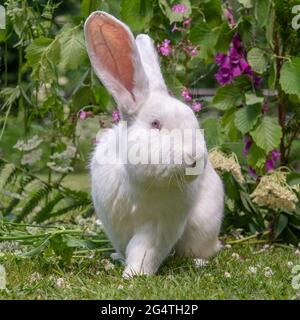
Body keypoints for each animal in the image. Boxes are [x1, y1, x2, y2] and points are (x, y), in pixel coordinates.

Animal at [84, 11, 223, 276]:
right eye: (156, 124)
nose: (195, 158)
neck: (141, 182)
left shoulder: (159, 226)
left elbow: (143, 251)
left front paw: (134, 275)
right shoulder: (115, 224)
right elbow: (127, 247)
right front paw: (123, 264)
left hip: (203, 226)